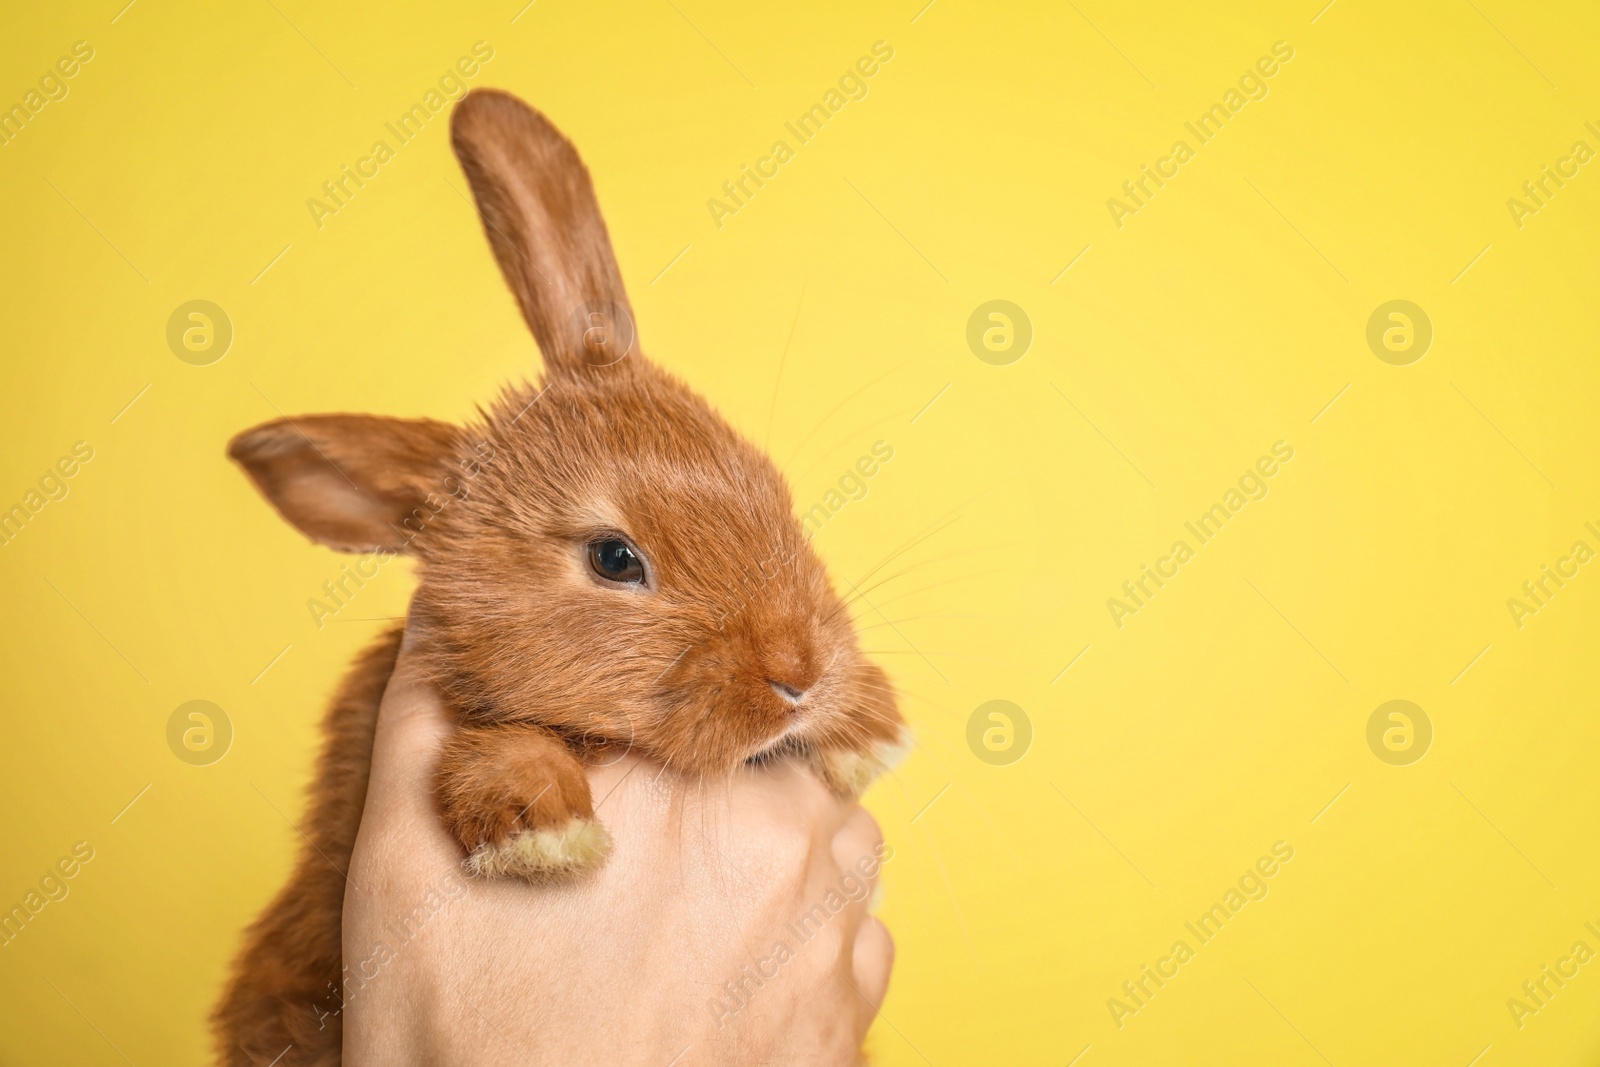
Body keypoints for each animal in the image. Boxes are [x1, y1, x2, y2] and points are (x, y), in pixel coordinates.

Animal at [211, 91, 908, 1067]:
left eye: (770, 488)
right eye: (614, 558)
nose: (799, 670)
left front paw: (868, 727)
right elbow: (501, 748)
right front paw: (545, 837)